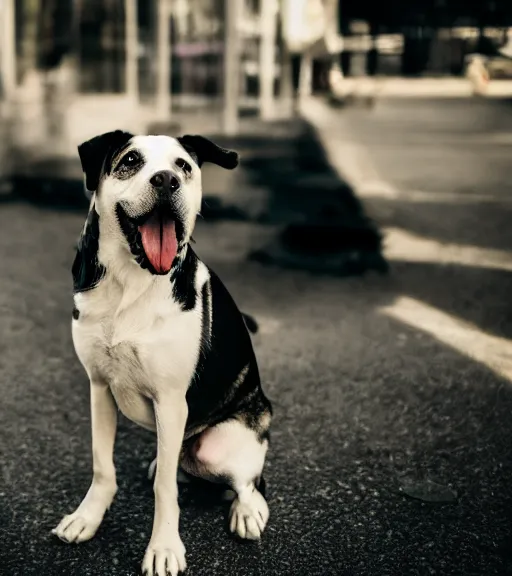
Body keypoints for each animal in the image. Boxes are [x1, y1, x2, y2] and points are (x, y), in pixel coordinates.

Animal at [52, 132, 274, 576]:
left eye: (183, 166)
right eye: (130, 161)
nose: (166, 180)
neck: (131, 280)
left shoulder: (170, 401)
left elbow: (165, 488)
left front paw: (164, 547)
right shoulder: (99, 387)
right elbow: (102, 465)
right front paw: (88, 517)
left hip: (225, 443)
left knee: (250, 482)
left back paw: (247, 513)